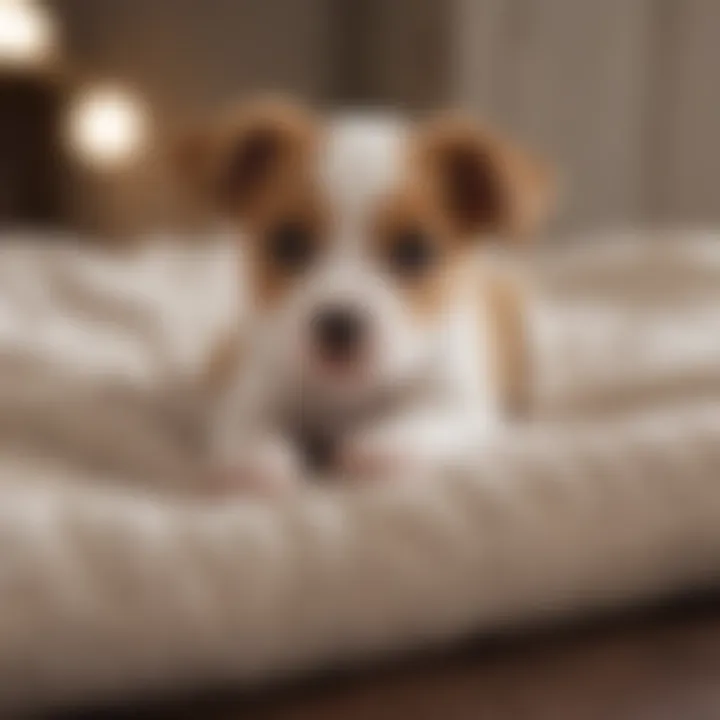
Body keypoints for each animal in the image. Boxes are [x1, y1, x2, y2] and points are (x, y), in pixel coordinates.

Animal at [179, 98, 552, 492]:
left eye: (413, 250)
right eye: (288, 241)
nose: (339, 324)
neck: (349, 395)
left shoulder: (457, 402)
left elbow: (411, 429)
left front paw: (376, 451)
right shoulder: (259, 386)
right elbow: (247, 424)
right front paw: (253, 463)